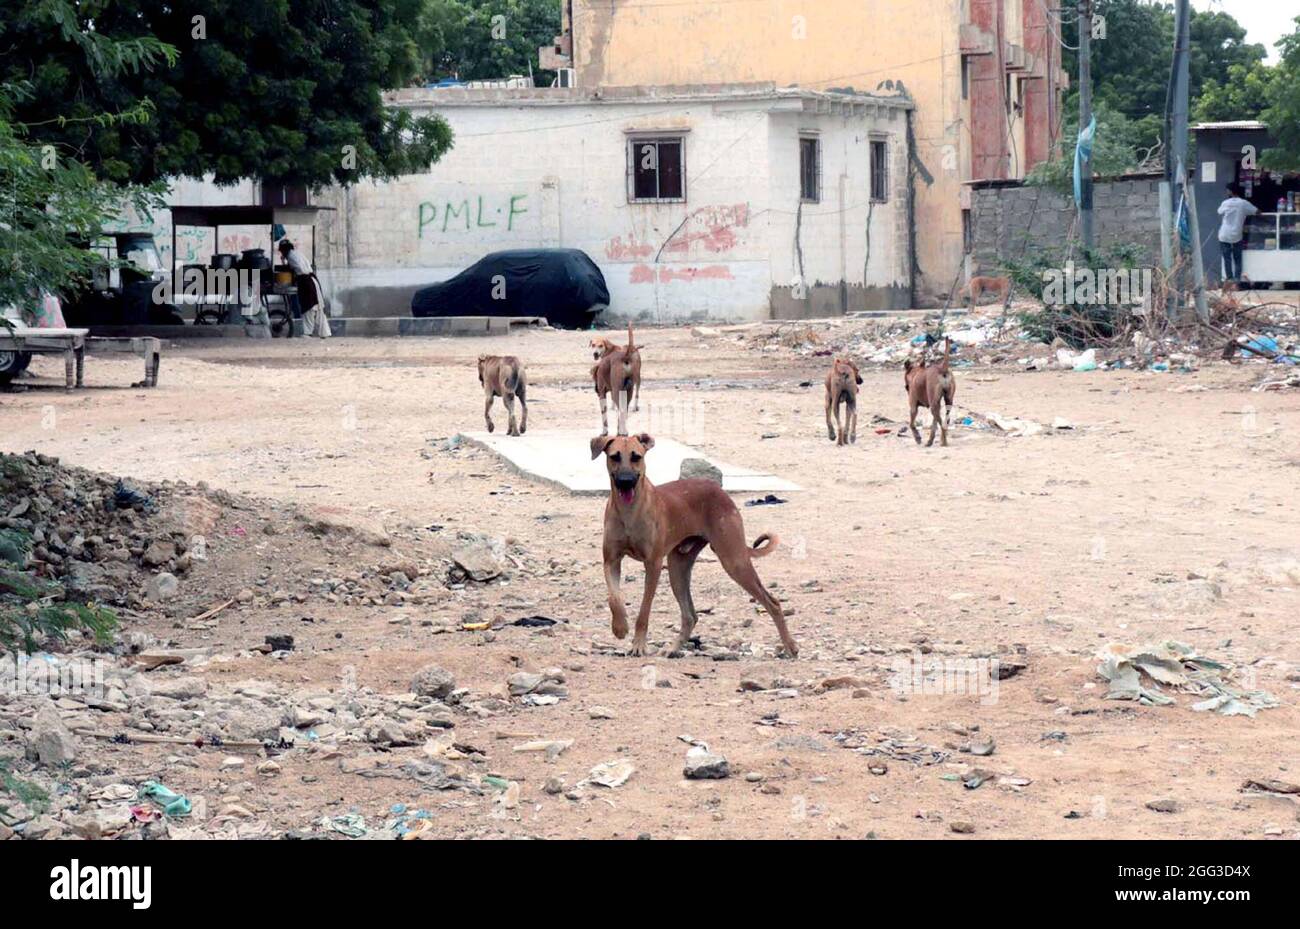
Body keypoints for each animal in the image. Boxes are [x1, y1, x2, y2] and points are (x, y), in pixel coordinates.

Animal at [587, 436, 790, 662]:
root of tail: (720, 491)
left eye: (636, 457)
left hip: (734, 560)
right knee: (690, 616)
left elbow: (644, 611)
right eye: (614, 456)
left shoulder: (653, 565)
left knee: (773, 602)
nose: (625, 481)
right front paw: (620, 627)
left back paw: (791, 647)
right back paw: (673, 648)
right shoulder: (611, 561)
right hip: (678, 568)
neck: (628, 512)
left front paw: (638, 645)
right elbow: (614, 598)